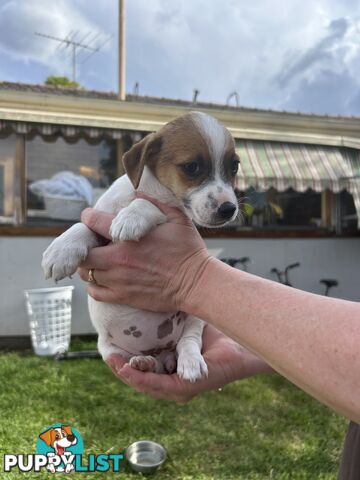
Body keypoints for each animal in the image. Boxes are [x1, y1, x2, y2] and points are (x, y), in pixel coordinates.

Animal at [41, 112, 239, 382]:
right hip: (108, 347)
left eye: (234, 166)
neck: (150, 190)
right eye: (192, 167)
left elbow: (148, 206)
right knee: (149, 363)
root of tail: (160, 352)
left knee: (188, 341)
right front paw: (61, 251)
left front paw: (131, 217)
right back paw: (143, 362)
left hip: (195, 318)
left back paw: (189, 362)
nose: (229, 209)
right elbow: (83, 226)